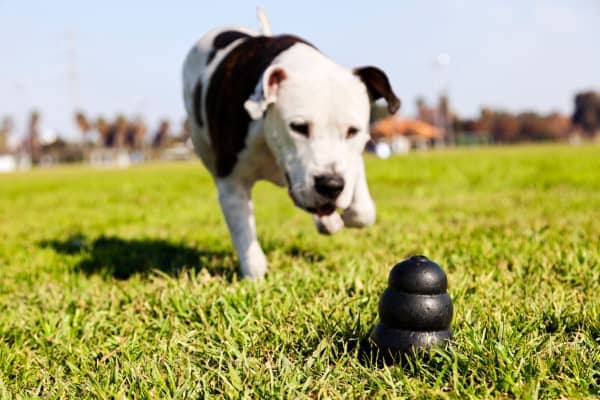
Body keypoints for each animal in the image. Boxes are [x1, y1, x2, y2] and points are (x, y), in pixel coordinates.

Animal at [180, 9, 400, 278]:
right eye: (299, 127)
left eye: (352, 131)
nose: (331, 185)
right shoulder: (231, 184)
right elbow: (245, 238)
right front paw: (255, 275)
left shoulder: (348, 162)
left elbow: (363, 211)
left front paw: (344, 214)